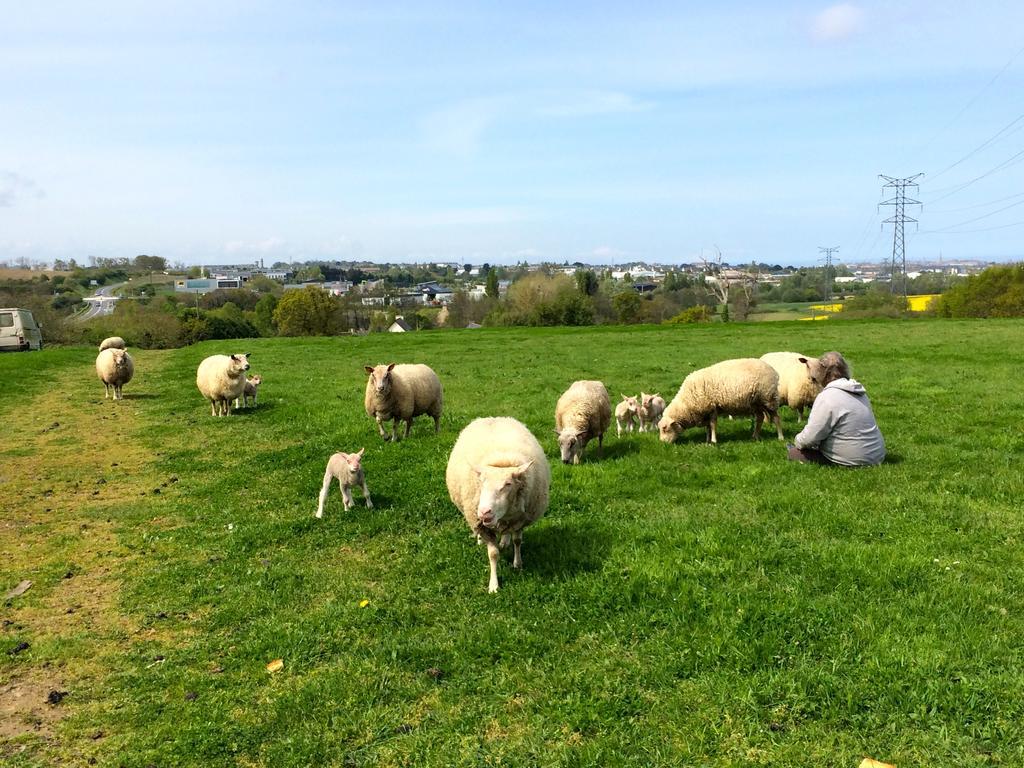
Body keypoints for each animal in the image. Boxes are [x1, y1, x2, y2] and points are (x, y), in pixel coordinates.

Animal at [444, 421, 548, 593]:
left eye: (508, 484)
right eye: (481, 482)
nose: (484, 512)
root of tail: (493, 417)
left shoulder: (520, 519)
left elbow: (517, 541)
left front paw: (517, 564)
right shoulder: (483, 525)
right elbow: (493, 554)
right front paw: (494, 585)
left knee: (506, 532)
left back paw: (504, 541)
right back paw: (481, 540)